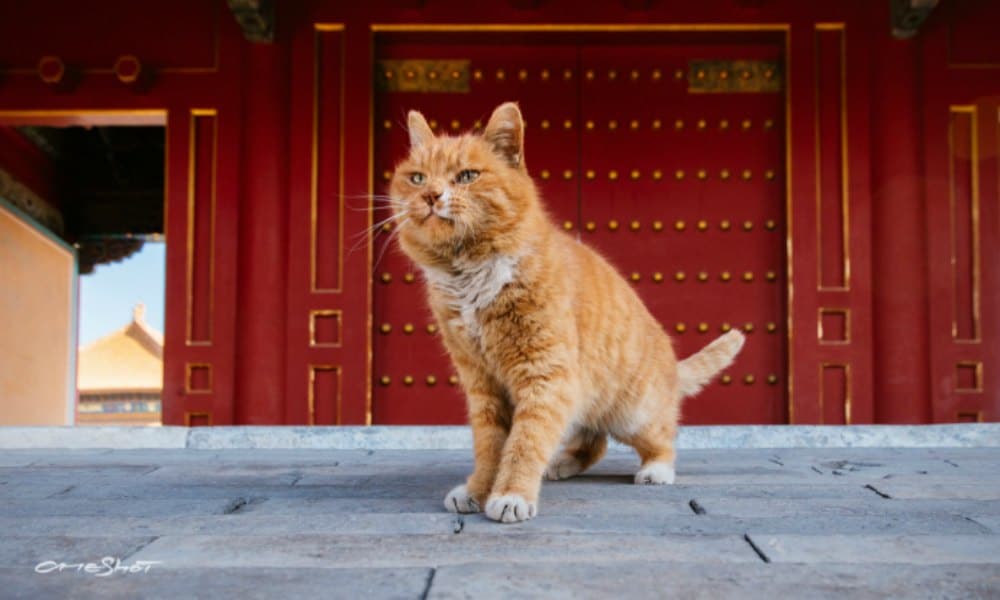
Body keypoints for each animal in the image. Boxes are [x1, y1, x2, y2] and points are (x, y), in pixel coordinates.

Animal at [386, 102, 748, 520]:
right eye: (417, 178)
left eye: (467, 176)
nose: (431, 195)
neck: (469, 275)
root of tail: (672, 366)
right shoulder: (482, 383)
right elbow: (490, 445)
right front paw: (478, 490)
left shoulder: (544, 374)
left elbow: (525, 441)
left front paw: (511, 494)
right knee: (594, 442)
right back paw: (561, 464)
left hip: (633, 413)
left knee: (661, 438)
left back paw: (655, 469)